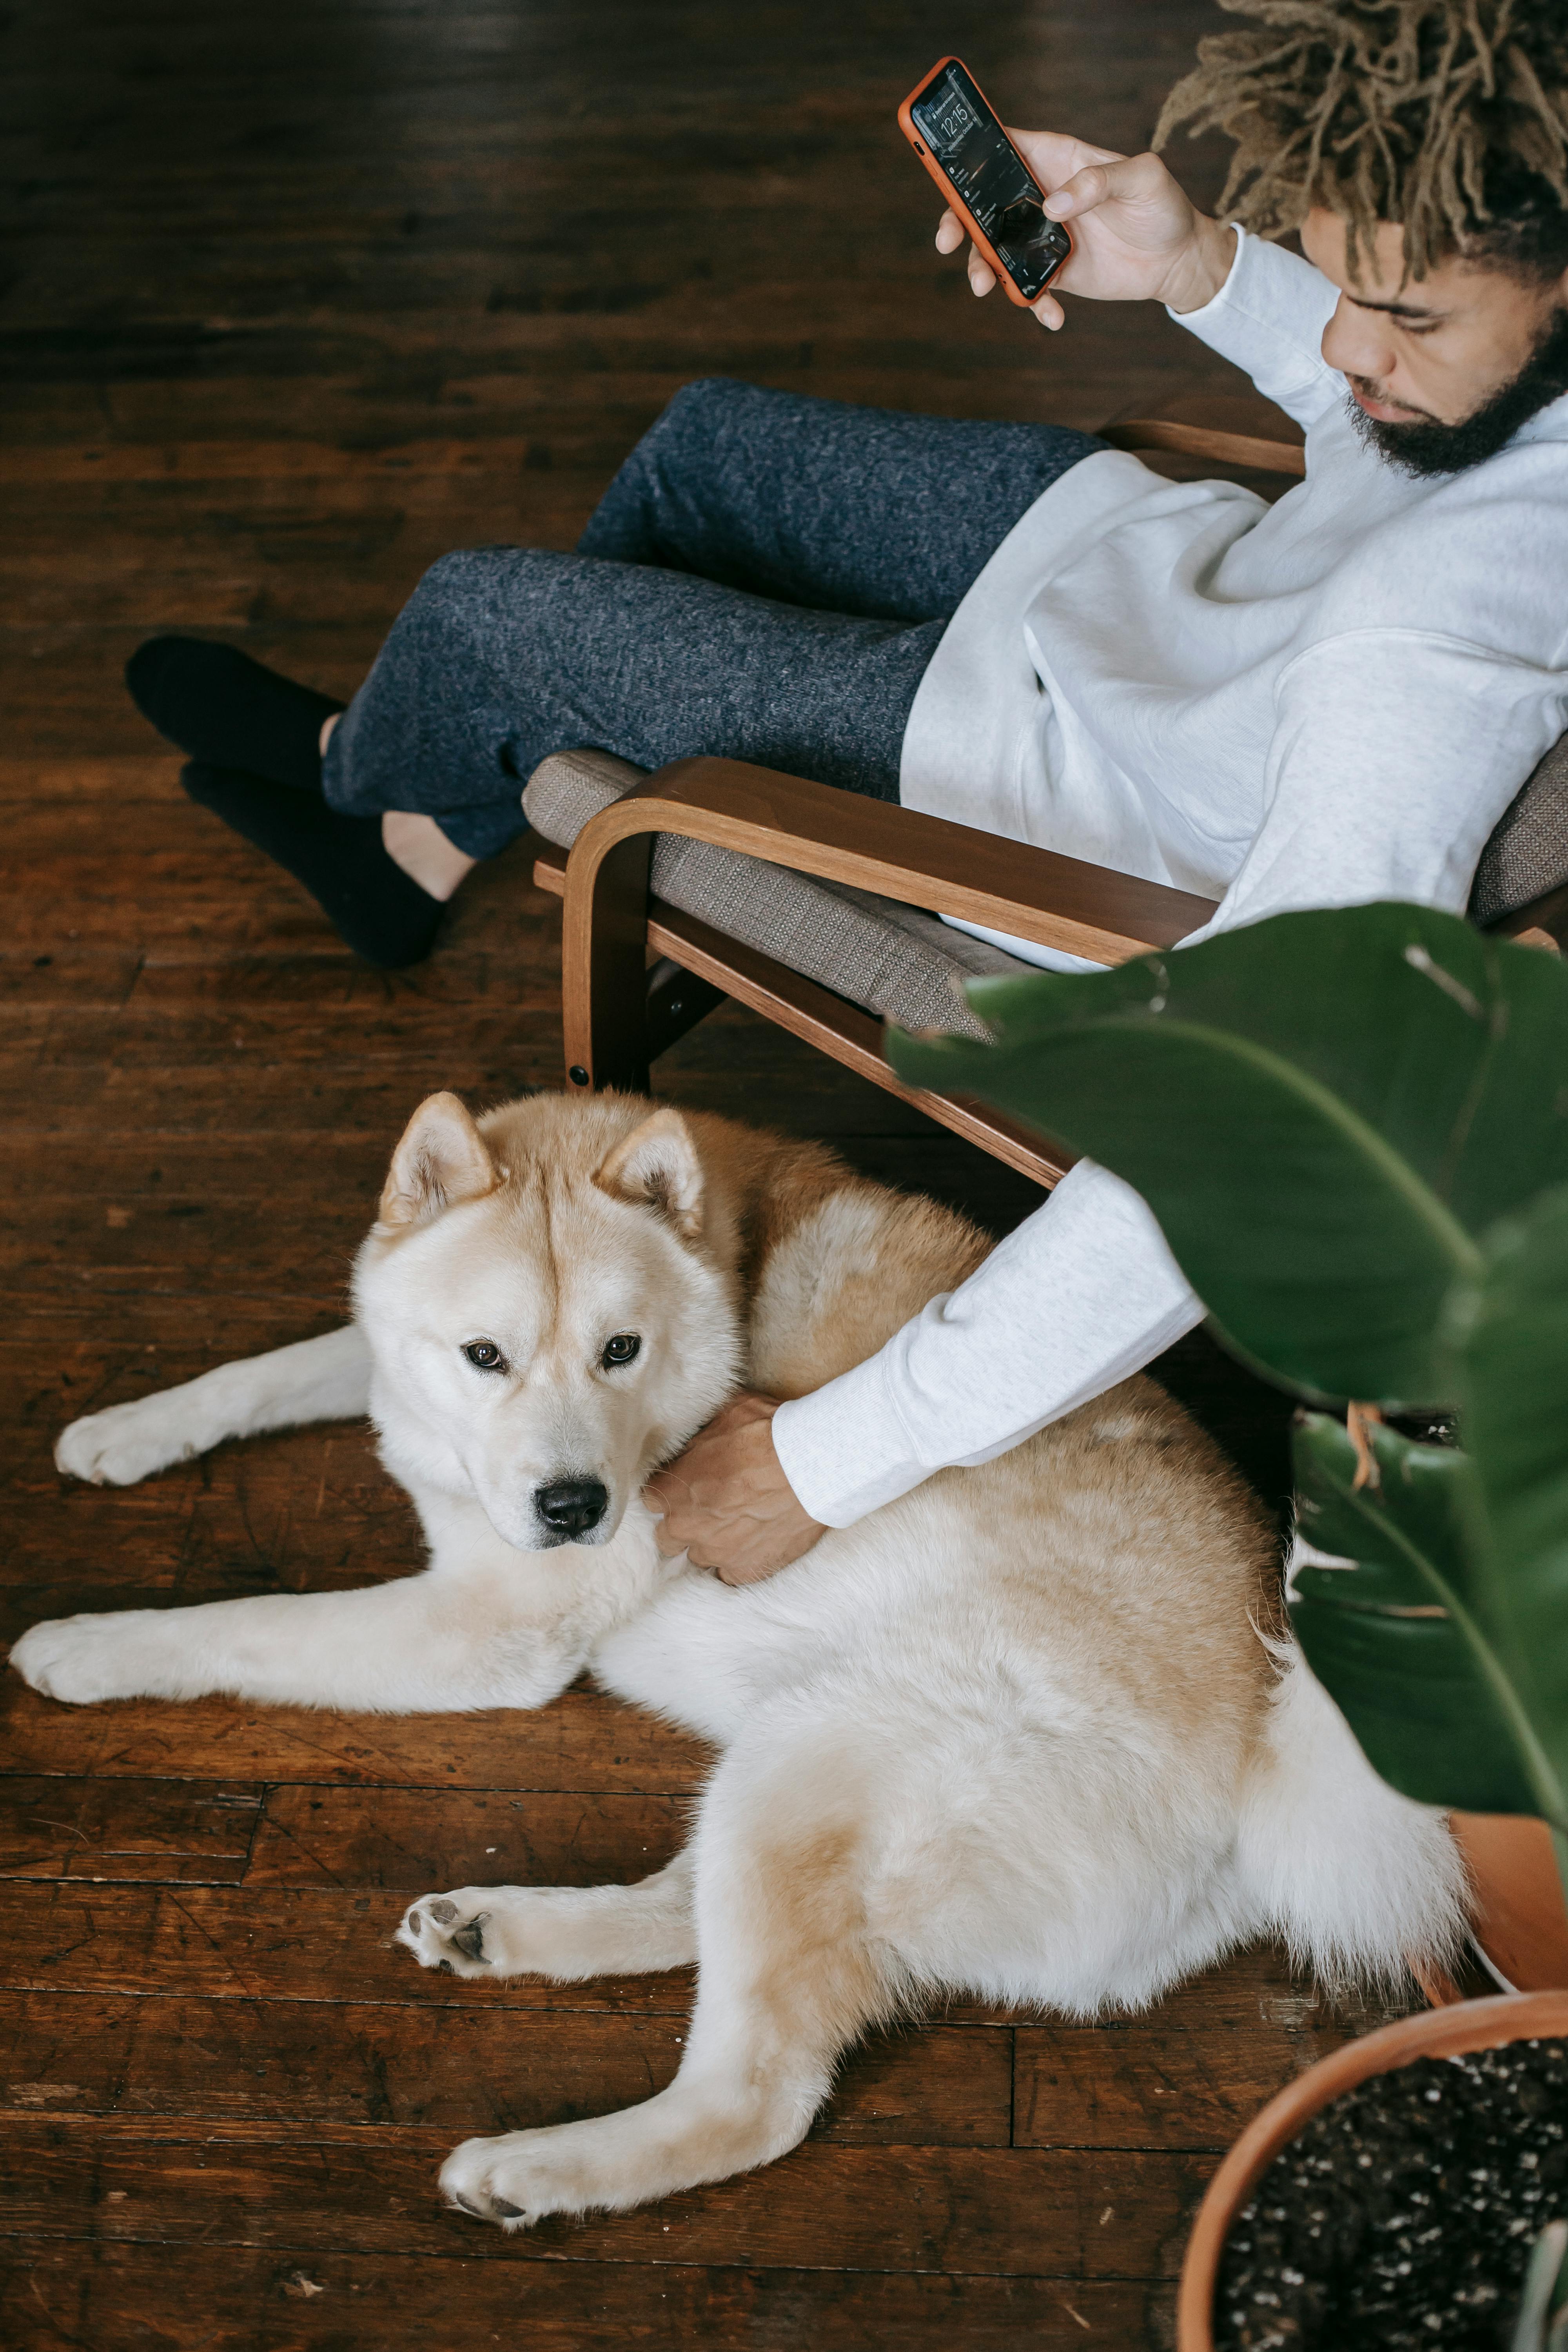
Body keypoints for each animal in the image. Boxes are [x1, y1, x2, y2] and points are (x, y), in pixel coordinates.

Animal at [12, 1091, 1467, 2230]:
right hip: (791, 1755)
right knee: (693, 1918)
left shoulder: (485, 1626)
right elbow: (278, 1366)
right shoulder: (389, 1364)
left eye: (621, 1349)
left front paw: (84, 1642)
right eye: (484, 1354)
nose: (574, 1508)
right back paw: (505, 1930)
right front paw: (124, 1431)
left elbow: (244, 1620)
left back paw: (542, 2166)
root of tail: (1266, 1755)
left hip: (818, 1756)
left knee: (752, 2098)